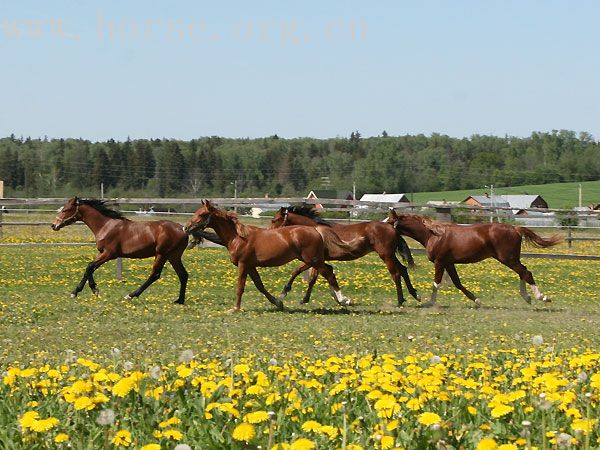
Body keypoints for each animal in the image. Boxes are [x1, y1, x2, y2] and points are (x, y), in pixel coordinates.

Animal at [51, 196, 199, 302]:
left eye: (65, 210)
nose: (54, 225)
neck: (106, 225)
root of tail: (183, 229)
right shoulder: (102, 253)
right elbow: (90, 268)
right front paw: (92, 290)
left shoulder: (109, 254)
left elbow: (89, 266)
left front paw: (81, 292)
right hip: (173, 256)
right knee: (183, 275)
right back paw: (179, 300)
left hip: (162, 254)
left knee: (155, 275)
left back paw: (131, 295)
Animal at [184, 201, 356, 312]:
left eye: (202, 214)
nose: (186, 227)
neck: (237, 237)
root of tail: (316, 230)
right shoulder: (251, 266)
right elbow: (260, 285)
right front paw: (278, 303)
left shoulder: (243, 264)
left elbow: (240, 287)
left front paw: (235, 308)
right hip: (311, 260)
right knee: (328, 270)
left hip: (313, 259)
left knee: (328, 272)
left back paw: (344, 300)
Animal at [270, 207, 420, 306]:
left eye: (275, 220)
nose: (271, 234)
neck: (316, 230)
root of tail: (392, 228)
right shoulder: (318, 261)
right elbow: (312, 279)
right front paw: (304, 300)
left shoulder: (314, 260)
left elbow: (298, 271)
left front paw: (284, 293)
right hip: (390, 255)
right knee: (403, 269)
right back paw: (414, 294)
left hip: (386, 255)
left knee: (396, 274)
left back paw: (400, 301)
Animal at [384, 210, 564, 308]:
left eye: (390, 220)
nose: (381, 227)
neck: (433, 234)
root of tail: (515, 228)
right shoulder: (449, 263)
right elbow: (457, 283)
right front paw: (477, 300)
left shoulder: (440, 262)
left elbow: (437, 283)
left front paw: (429, 303)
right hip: (511, 259)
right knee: (523, 273)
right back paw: (527, 297)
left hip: (508, 259)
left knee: (526, 273)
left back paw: (541, 297)